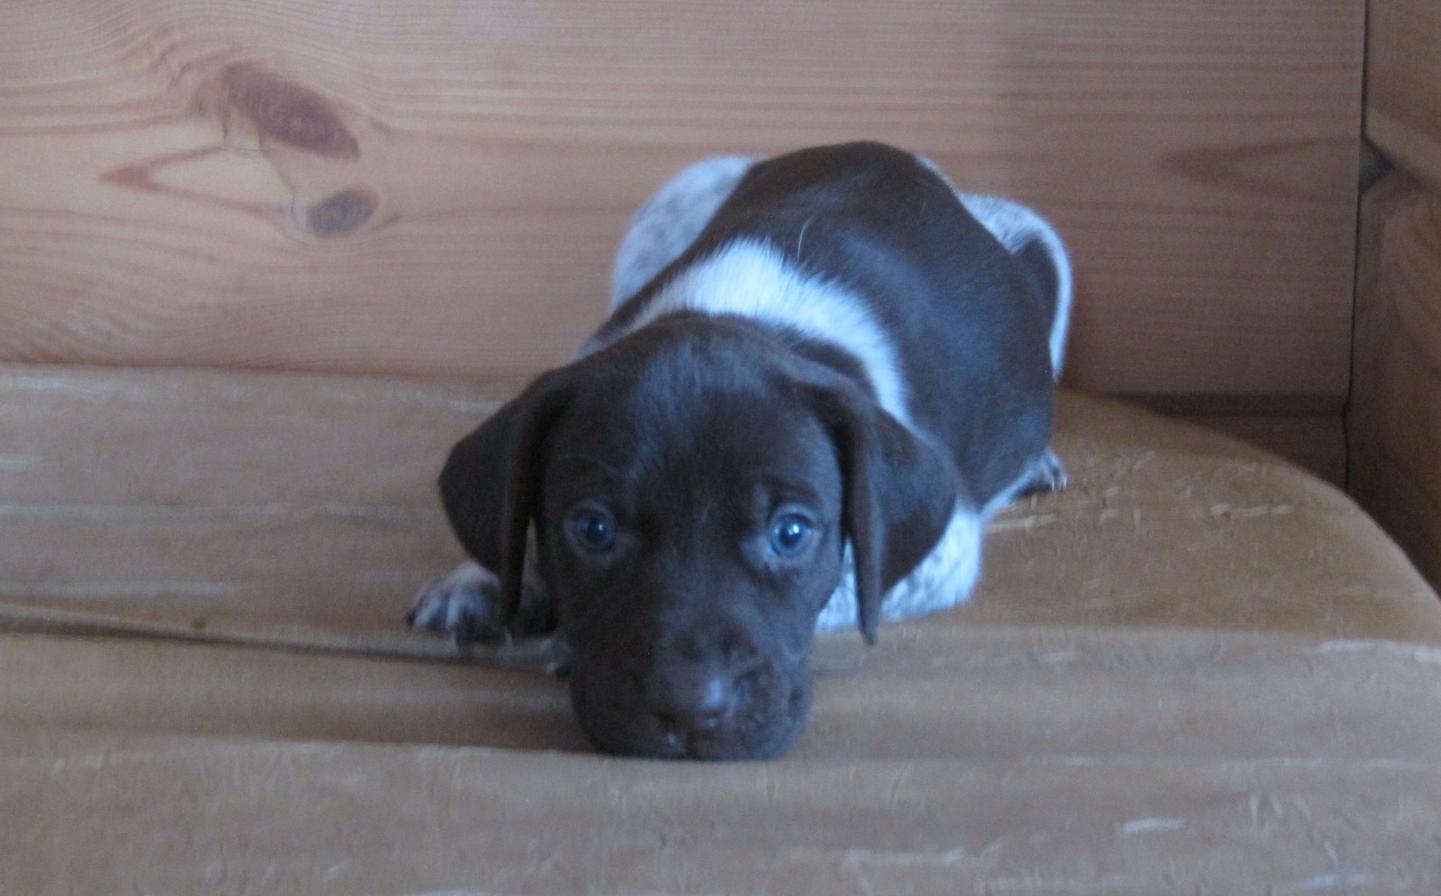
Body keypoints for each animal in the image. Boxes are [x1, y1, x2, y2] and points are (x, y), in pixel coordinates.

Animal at [409, 141, 1071, 760]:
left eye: (791, 534)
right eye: (593, 529)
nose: (687, 709)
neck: (742, 311)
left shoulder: (944, 551)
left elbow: (852, 577)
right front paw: (490, 579)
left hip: (1045, 247)